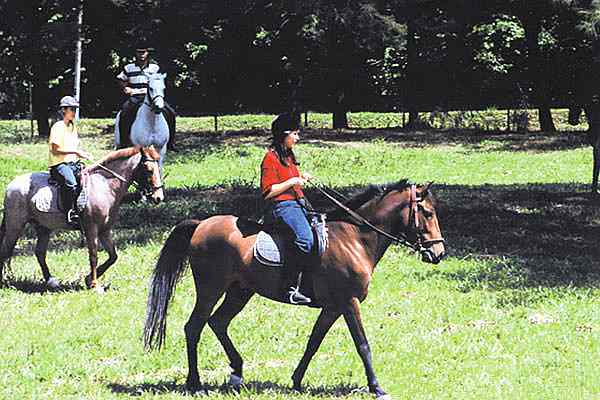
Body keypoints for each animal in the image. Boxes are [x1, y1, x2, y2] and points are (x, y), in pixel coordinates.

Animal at [0, 145, 164, 290]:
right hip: (15, 225)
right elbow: (93, 255)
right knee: (6, 251)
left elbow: (113, 256)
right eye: (148, 170)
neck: (104, 186)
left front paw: (88, 279)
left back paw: (51, 281)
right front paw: (94, 284)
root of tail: (11, 185)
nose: (159, 197)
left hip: (43, 227)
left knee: (40, 253)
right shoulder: (91, 228)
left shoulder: (105, 230)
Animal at [144, 181, 446, 400]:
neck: (354, 239)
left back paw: (237, 373)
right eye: (427, 213)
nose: (439, 253)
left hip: (240, 291)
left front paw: (297, 380)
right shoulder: (349, 302)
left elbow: (314, 342)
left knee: (218, 322)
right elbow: (363, 344)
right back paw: (195, 383)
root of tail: (201, 225)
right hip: (211, 288)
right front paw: (377, 387)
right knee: (194, 326)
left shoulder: (332, 307)